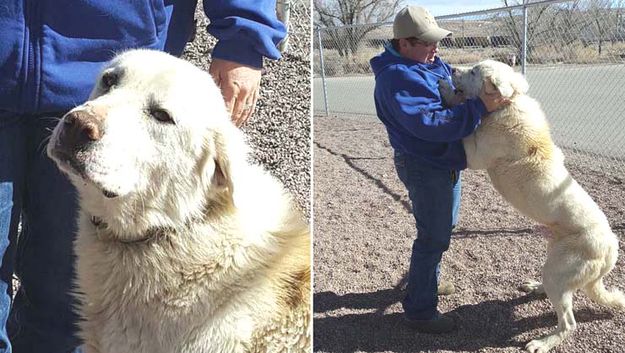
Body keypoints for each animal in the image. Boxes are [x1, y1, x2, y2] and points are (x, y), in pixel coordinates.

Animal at [438, 59, 624, 352]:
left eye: (475, 71)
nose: (453, 69)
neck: (508, 104)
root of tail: (611, 249)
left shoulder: (474, 154)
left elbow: (464, 123)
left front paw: (445, 89)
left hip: (559, 271)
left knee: (568, 324)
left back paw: (543, 343)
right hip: (554, 261)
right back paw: (536, 287)